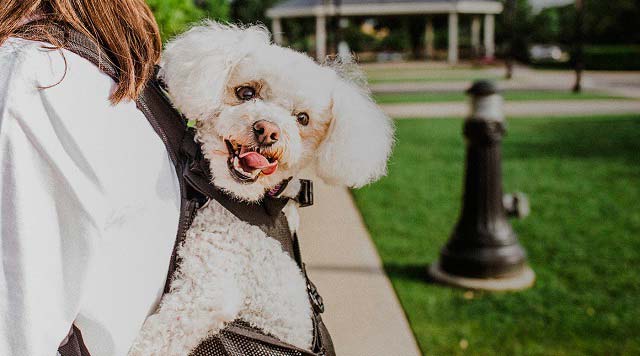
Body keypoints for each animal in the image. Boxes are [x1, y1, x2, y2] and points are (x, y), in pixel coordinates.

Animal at [127, 20, 392, 354]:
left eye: (302, 118)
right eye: (246, 92)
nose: (267, 131)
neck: (253, 205)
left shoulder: (208, 289)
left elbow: (157, 337)